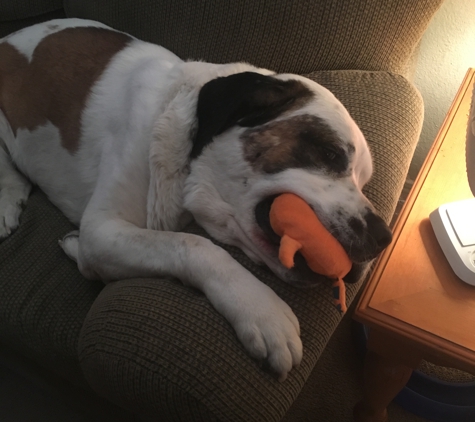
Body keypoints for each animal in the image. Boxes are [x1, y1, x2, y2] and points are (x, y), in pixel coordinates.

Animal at [0, 19, 392, 380]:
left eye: (363, 181)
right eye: (329, 153)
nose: (383, 237)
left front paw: (73, 248)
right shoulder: (103, 230)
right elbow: (194, 245)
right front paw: (259, 307)